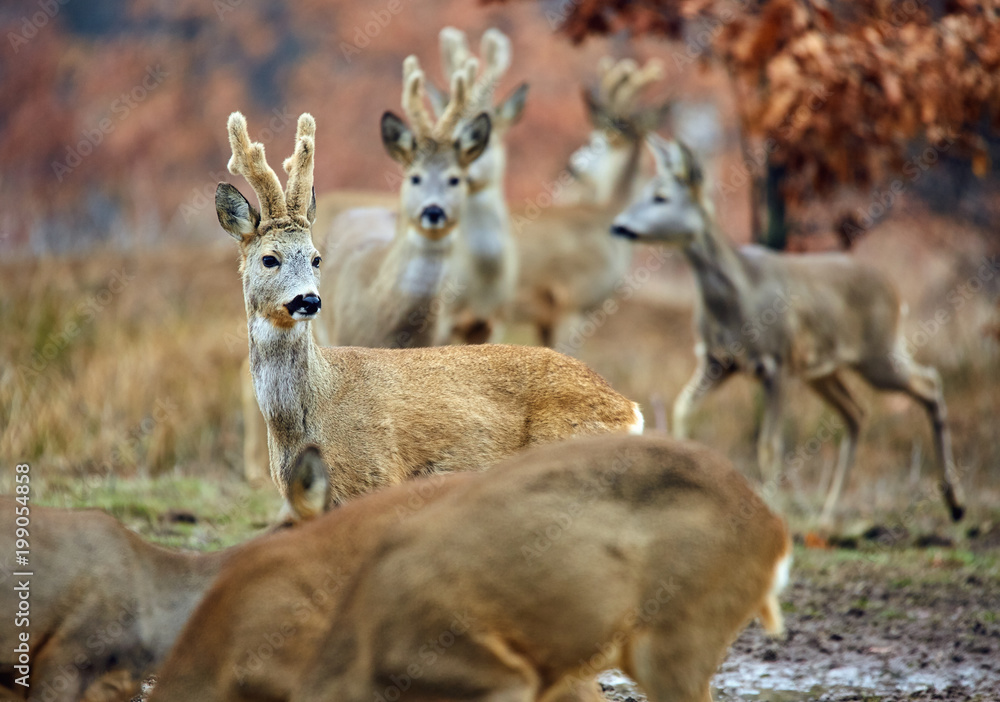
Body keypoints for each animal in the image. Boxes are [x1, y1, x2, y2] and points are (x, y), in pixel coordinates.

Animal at [216, 110, 643, 518]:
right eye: (270, 258)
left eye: (317, 258)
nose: (308, 300)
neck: (312, 411)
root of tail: (629, 409)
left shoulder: (378, 474)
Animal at [611, 135, 966, 525]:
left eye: (660, 196)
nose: (618, 225)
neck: (736, 299)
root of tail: (895, 291)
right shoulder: (715, 361)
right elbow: (682, 410)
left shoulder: (774, 361)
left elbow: (769, 445)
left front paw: (768, 509)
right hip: (822, 370)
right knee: (857, 412)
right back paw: (828, 514)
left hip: (879, 352)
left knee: (929, 383)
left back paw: (955, 503)